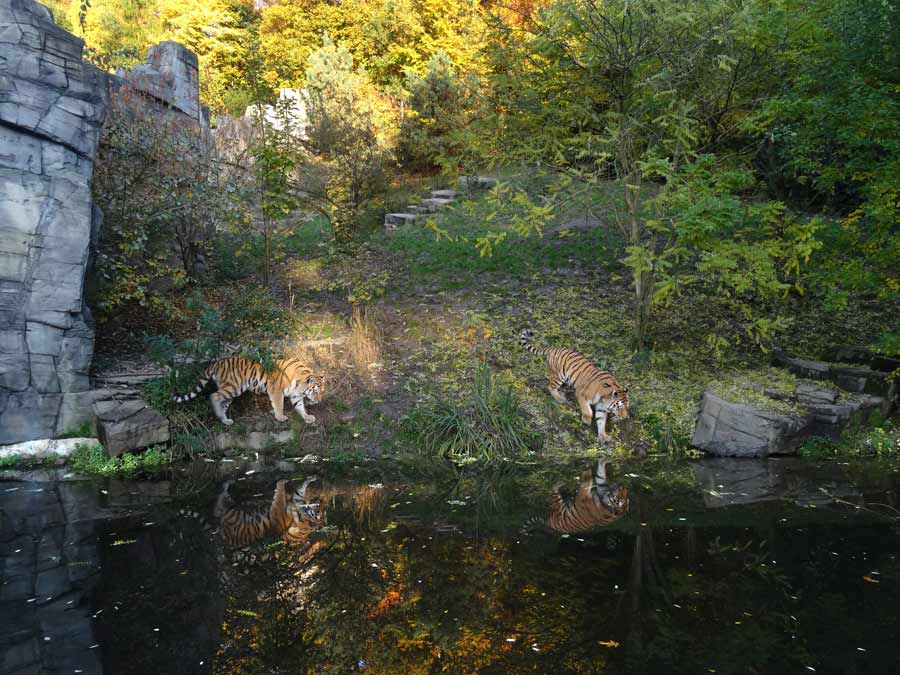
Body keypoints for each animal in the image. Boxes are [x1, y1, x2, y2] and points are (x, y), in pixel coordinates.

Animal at [172, 356, 324, 426]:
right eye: (315, 391)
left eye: (322, 390)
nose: (320, 400)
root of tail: (217, 362)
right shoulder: (275, 390)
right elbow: (278, 404)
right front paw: (280, 417)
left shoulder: (295, 395)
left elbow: (300, 406)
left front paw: (307, 417)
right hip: (233, 387)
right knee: (214, 396)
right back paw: (220, 415)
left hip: (231, 391)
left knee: (222, 402)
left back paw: (225, 420)